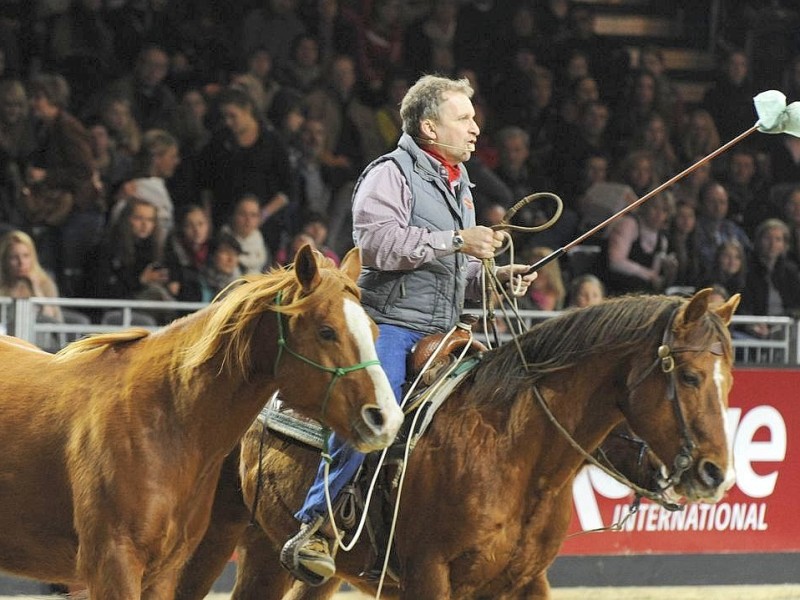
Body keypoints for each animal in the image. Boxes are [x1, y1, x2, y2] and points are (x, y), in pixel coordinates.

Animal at [0, 245, 404, 600]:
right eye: (326, 330)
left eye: (374, 331)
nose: (385, 418)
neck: (163, 420)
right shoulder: (112, 565)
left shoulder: (163, 571)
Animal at [178, 288, 740, 596]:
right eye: (689, 376)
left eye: (728, 380)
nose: (716, 473)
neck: (514, 449)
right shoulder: (428, 577)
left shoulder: (525, 582)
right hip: (214, 536)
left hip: (287, 553)